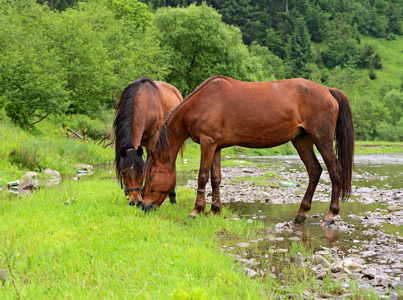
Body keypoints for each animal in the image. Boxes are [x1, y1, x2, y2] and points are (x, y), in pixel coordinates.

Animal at [141, 76, 354, 226]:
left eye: (150, 176)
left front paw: (196, 210)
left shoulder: (207, 143)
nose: (144, 206)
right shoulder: (216, 146)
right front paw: (214, 210)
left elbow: (202, 176)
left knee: (335, 171)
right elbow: (216, 178)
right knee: (314, 171)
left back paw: (330, 216)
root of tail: (327, 90)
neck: (202, 101)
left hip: (321, 138)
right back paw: (301, 214)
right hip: (301, 140)